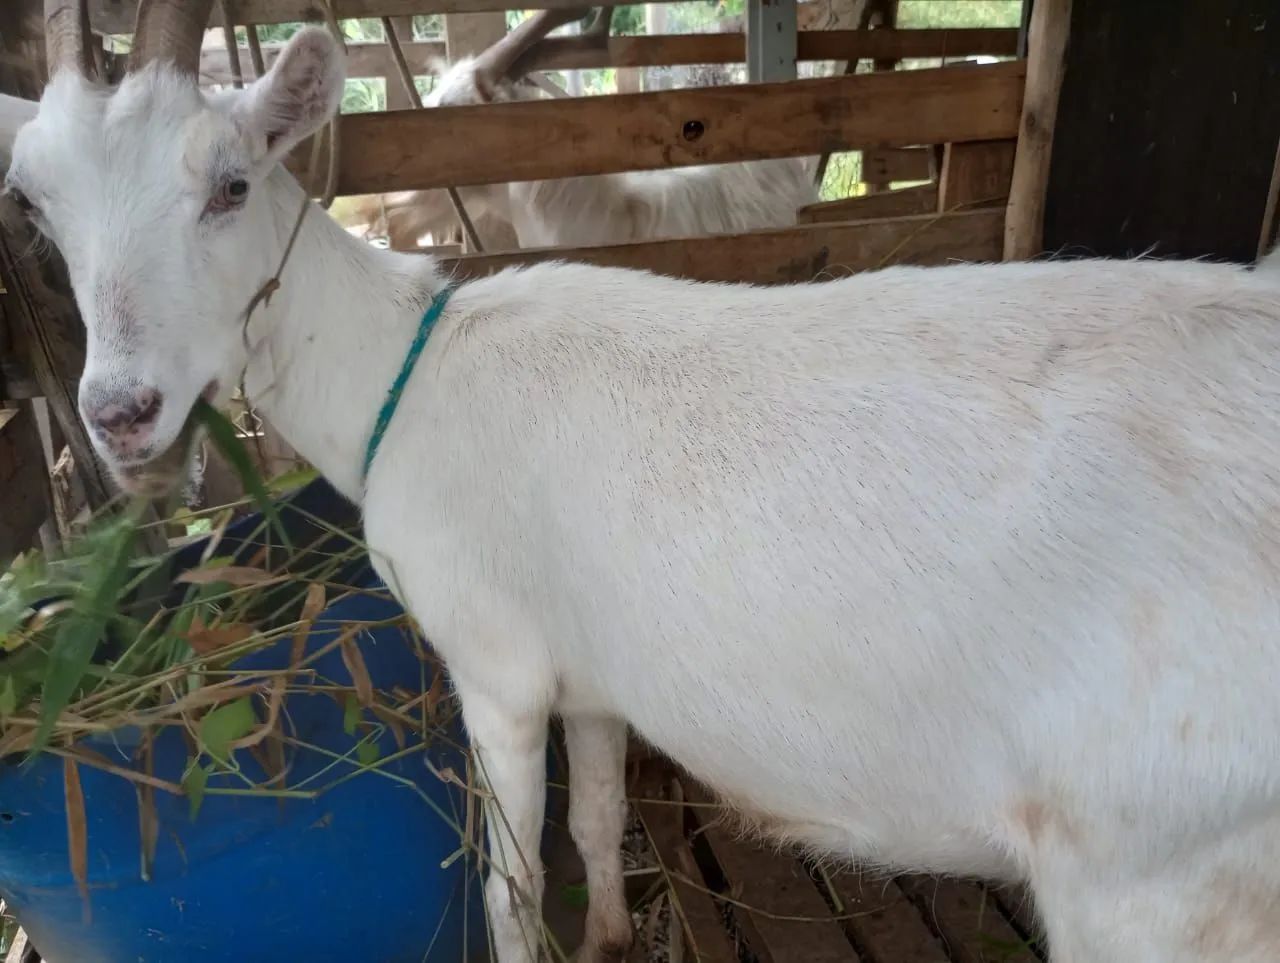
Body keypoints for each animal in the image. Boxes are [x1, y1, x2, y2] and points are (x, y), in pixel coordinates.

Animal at [9, 6, 1280, 962]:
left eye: (229, 184)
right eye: (35, 205)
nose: (120, 413)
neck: (406, 375)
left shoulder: (500, 668)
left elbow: (512, 884)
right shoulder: (591, 675)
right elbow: (599, 814)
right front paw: (615, 937)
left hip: (1163, 873)